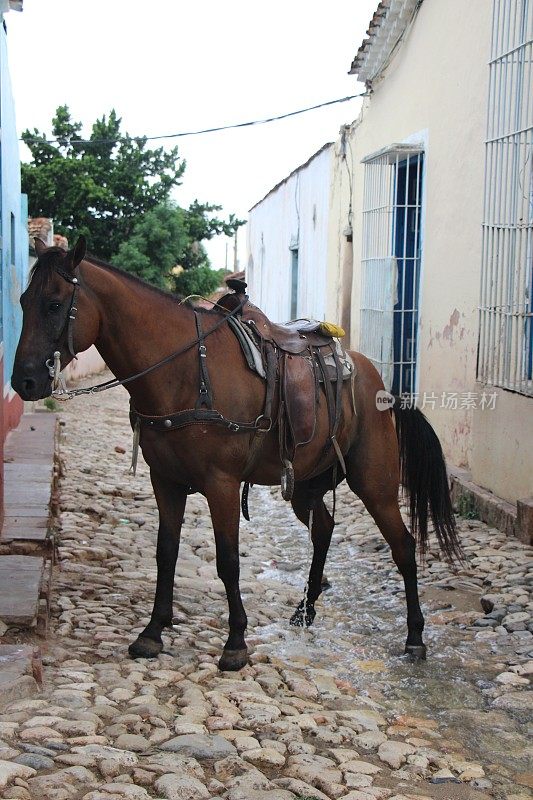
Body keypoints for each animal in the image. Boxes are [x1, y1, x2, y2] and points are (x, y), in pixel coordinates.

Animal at [13, 236, 462, 668]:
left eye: (54, 304)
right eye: (22, 301)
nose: (25, 381)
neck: (185, 373)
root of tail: (379, 382)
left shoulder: (222, 484)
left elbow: (228, 560)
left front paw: (235, 644)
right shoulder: (166, 481)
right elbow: (165, 552)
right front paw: (153, 632)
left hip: (375, 484)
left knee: (403, 547)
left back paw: (415, 636)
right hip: (305, 485)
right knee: (324, 529)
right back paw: (305, 611)